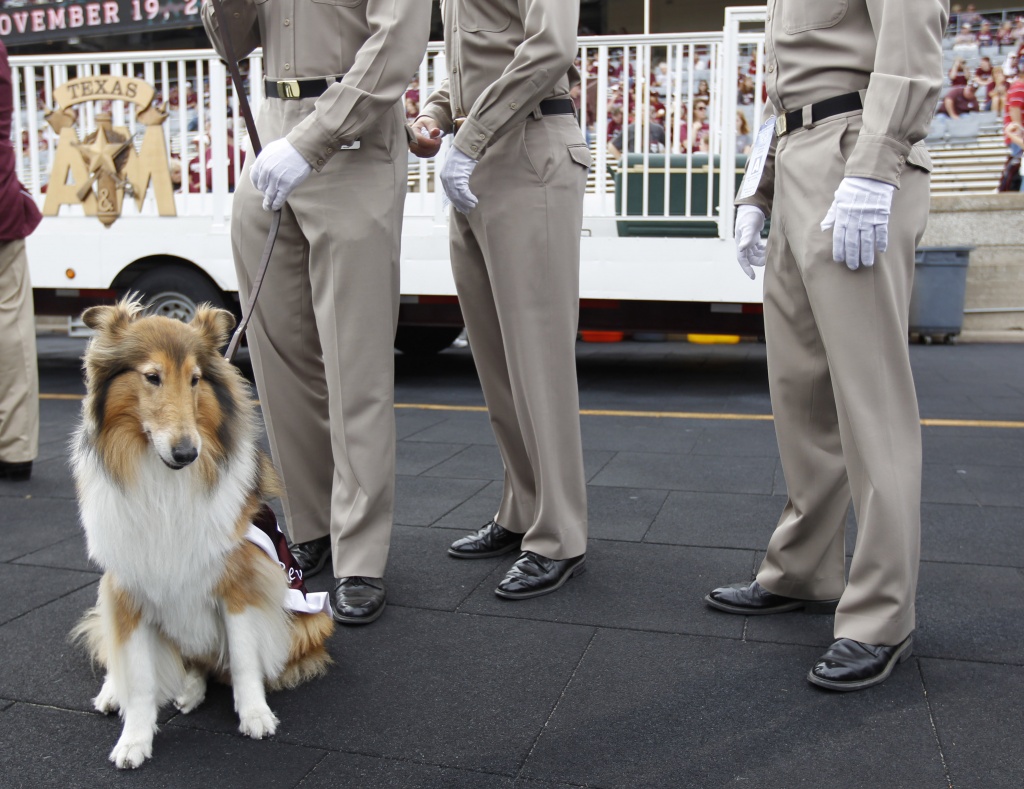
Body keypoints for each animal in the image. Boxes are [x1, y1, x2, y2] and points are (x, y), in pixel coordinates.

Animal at [73, 298, 335, 769]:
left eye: (195, 379)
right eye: (152, 376)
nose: (186, 454)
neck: (164, 481)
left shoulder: (239, 582)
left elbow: (245, 659)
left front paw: (255, 715)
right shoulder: (127, 587)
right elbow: (139, 677)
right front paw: (133, 740)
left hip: (311, 619)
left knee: (211, 665)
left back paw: (190, 692)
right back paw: (119, 693)